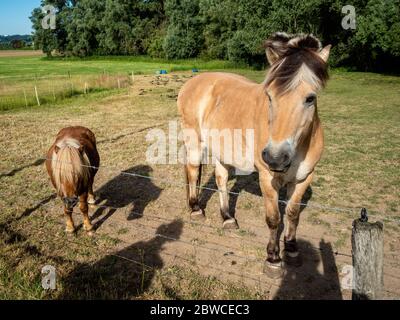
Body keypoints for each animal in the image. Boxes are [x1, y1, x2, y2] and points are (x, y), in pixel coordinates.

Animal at [179, 33, 332, 278]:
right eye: (270, 96)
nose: (276, 157)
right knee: (193, 172)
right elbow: (274, 218)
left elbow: (292, 214)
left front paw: (292, 250)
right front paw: (273, 259)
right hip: (194, 141)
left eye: (310, 98)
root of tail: (195, 81)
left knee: (221, 178)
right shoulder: (267, 178)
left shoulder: (304, 178)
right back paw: (195, 209)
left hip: (223, 149)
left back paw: (227, 218)